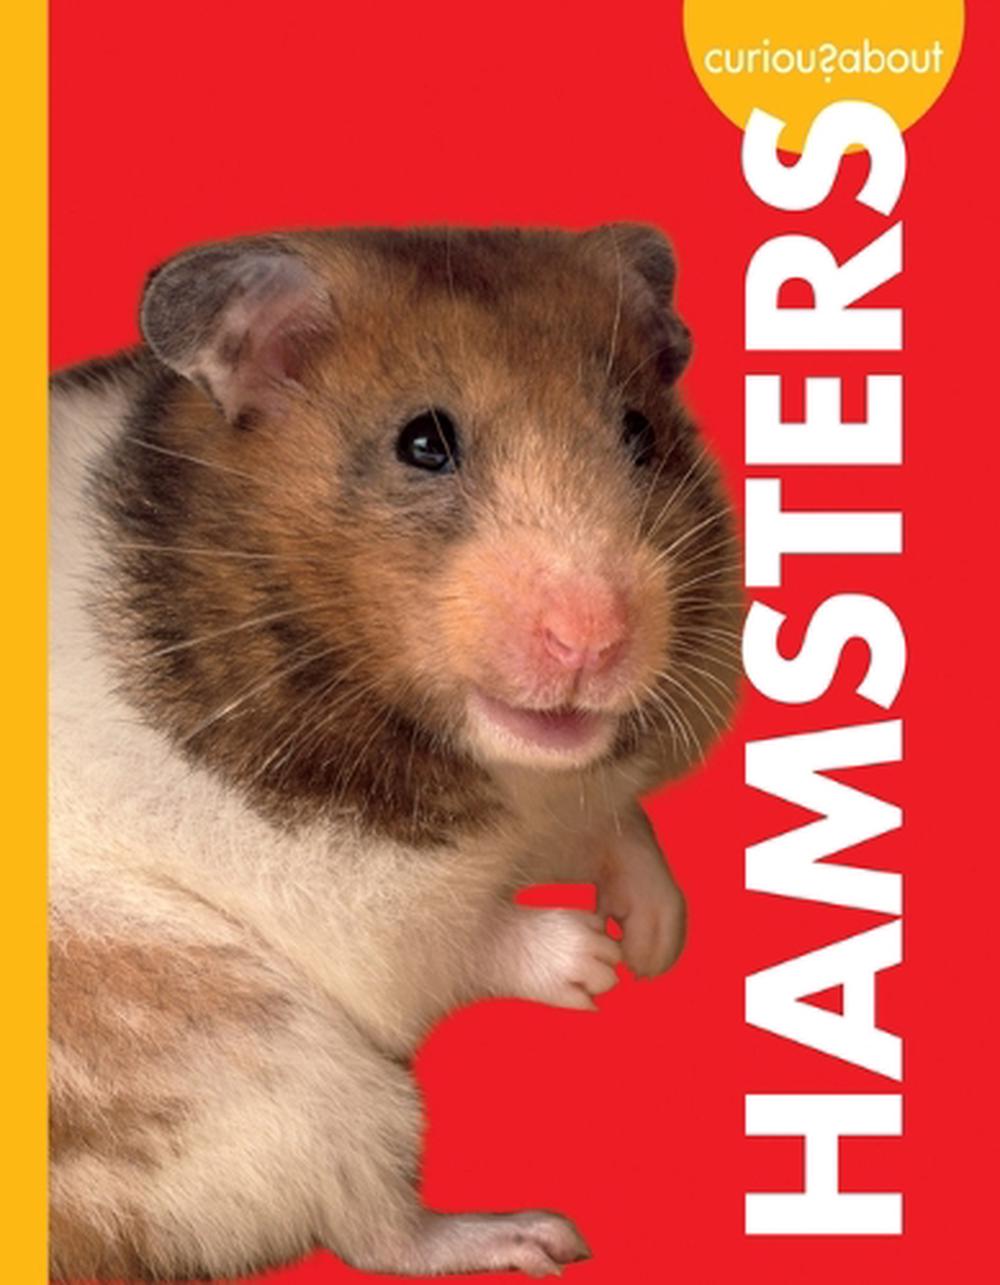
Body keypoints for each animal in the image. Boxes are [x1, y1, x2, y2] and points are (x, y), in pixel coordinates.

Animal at [48, 224, 741, 1280]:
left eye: (640, 433)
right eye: (423, 442)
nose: (593, 641)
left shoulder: (565, 799)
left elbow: (619, 822)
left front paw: (657, 941)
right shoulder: (358, 899)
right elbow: (459, 937)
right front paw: (595, 964)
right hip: (269, 1063)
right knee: (374, 1227)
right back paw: (533, 1234)